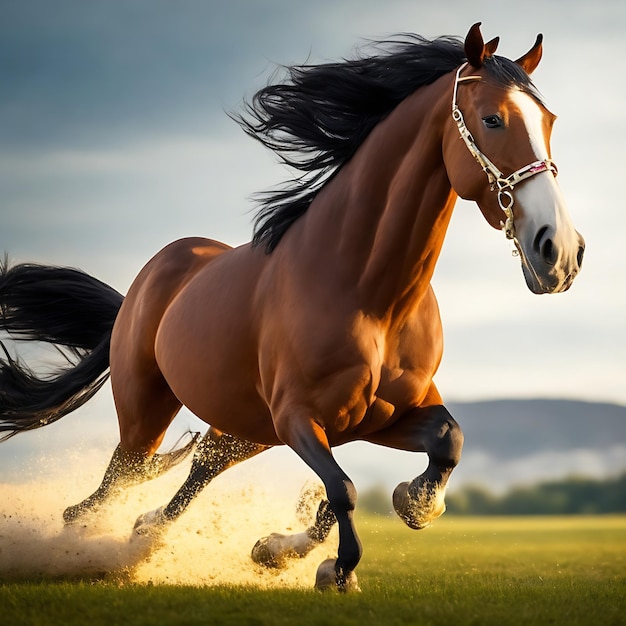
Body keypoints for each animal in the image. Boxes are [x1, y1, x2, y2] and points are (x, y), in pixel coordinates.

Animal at [0, 24, 584, 588]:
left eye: (550, 121)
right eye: (492, 119)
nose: (559, 252)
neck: (371, 295)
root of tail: (150, 278)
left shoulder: (383, 416)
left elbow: (446, 443)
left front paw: (407, 505)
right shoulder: (297, 418)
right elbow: (343, 489)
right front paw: (332, 568)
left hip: (246, 428)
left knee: (197, 471)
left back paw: (145, 536)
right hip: (148, 409)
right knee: (110, 488)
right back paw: (89, 548)